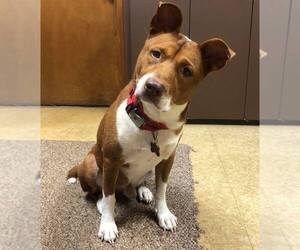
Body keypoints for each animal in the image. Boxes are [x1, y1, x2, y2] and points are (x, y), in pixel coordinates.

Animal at [67, 2, 234, 243]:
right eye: (156, 53)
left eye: (186, 70)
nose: (153, 87)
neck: (151, 121)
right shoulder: (111, 161)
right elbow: (109, 197)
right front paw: (108, 224)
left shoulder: (167, 160)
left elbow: (162, 190)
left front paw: (163, 214)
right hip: (92, 164)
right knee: (98, 193)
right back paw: (102, 204)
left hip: (145, 169)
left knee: (138, 182)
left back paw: (143, 191)